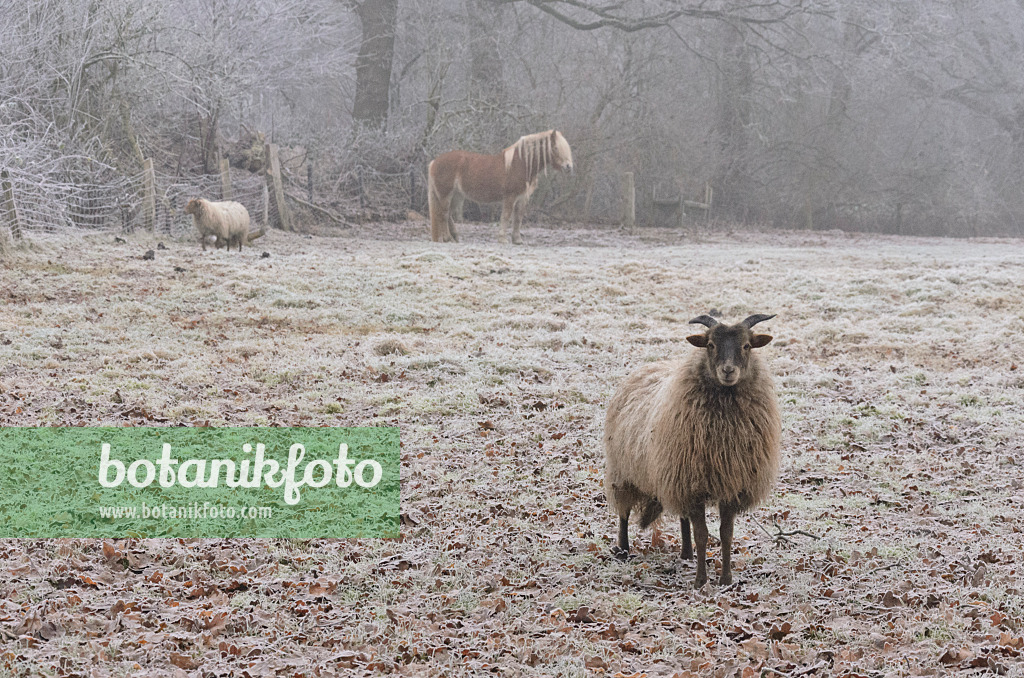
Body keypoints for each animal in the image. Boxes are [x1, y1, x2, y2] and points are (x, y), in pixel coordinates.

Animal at [421, 129, 569, 244]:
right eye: (556, 148)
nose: (568, 166)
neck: (521, 163)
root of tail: (434, 162)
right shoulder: (510, 197)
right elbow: (506, 216)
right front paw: (503, 239)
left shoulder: (522, 198)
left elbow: (518, 218)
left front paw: (517, 240)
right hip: (445, 195)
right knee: (443, 214)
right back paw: (447, 238)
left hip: (456, 196)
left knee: (448, 215)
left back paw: (455, 237)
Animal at [598, 315, 782, 585]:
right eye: (710, 345)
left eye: (747, 346)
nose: (728, 371)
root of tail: (649, 366)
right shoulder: (694, 486)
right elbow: (702, 534)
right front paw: (701, 581)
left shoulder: (728, 485)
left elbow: (726, 534)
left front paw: (726, 579)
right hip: (624, 471)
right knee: (623, 511)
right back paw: (622, 549)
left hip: (676, 476)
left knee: (683, 518)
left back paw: (686, 553)